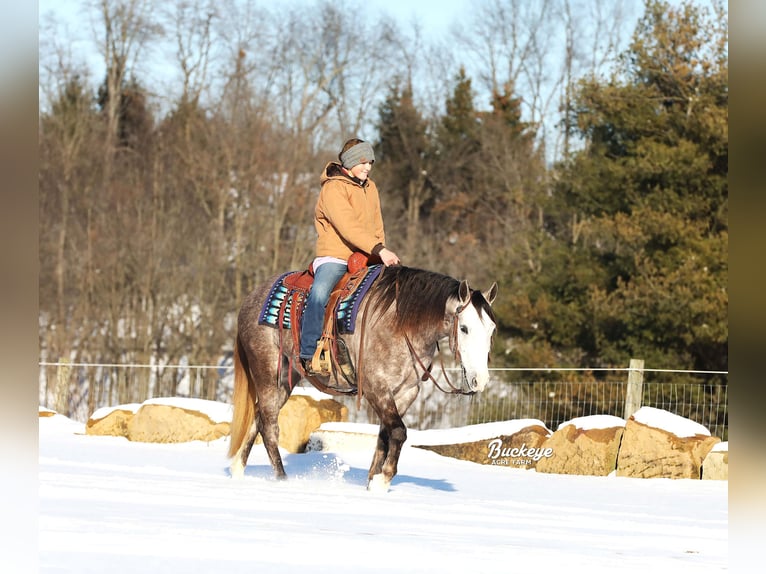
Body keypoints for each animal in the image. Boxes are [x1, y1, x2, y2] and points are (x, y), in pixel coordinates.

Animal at [228, 266, 500, 496]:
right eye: (464, 328)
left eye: (491, 329)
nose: (480, 380)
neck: (401, 323)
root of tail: (250, 300)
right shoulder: (376, 388)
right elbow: (399, 432)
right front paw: (383, 480)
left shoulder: (405, 393)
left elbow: (385, 436)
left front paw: (373, 482)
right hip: (268, 374)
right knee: (269, 427)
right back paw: (282, 479)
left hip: (285, 379)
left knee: (259, 418)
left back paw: (238, 470)